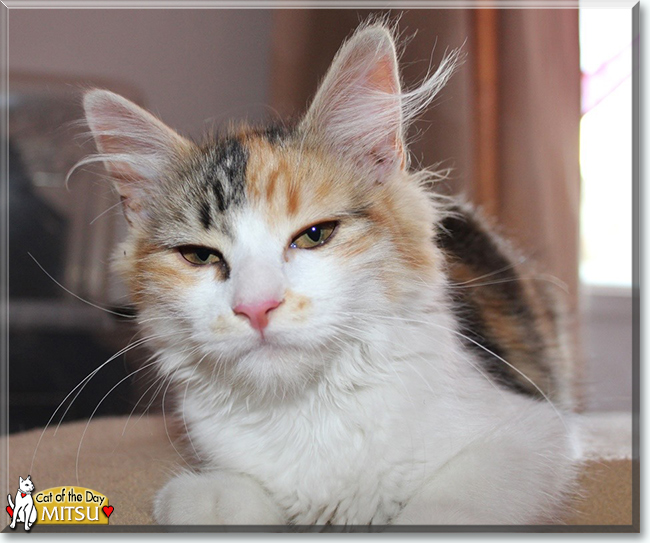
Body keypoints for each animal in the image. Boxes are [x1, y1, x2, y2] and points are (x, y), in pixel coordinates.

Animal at [78, 22, 576, 528]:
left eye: (315, 235)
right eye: (199, 255)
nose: (256, 307)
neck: (306, 411)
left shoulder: (532, 432)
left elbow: (448, 505)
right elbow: (213, 499)